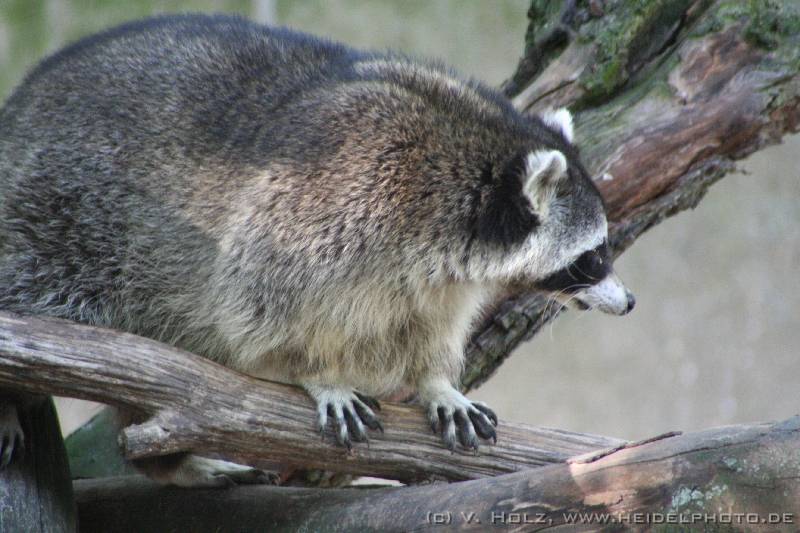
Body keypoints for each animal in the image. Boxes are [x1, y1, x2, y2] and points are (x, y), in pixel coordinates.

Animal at [0, 14, 633, 486]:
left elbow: (430, 325)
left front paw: (436, 381)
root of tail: (21, 104)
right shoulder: (324, 204)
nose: (629, 303)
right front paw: (317, 372)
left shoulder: (440, 277)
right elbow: (257, 310)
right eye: (594, 256)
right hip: (53, 218)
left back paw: (168, 462)